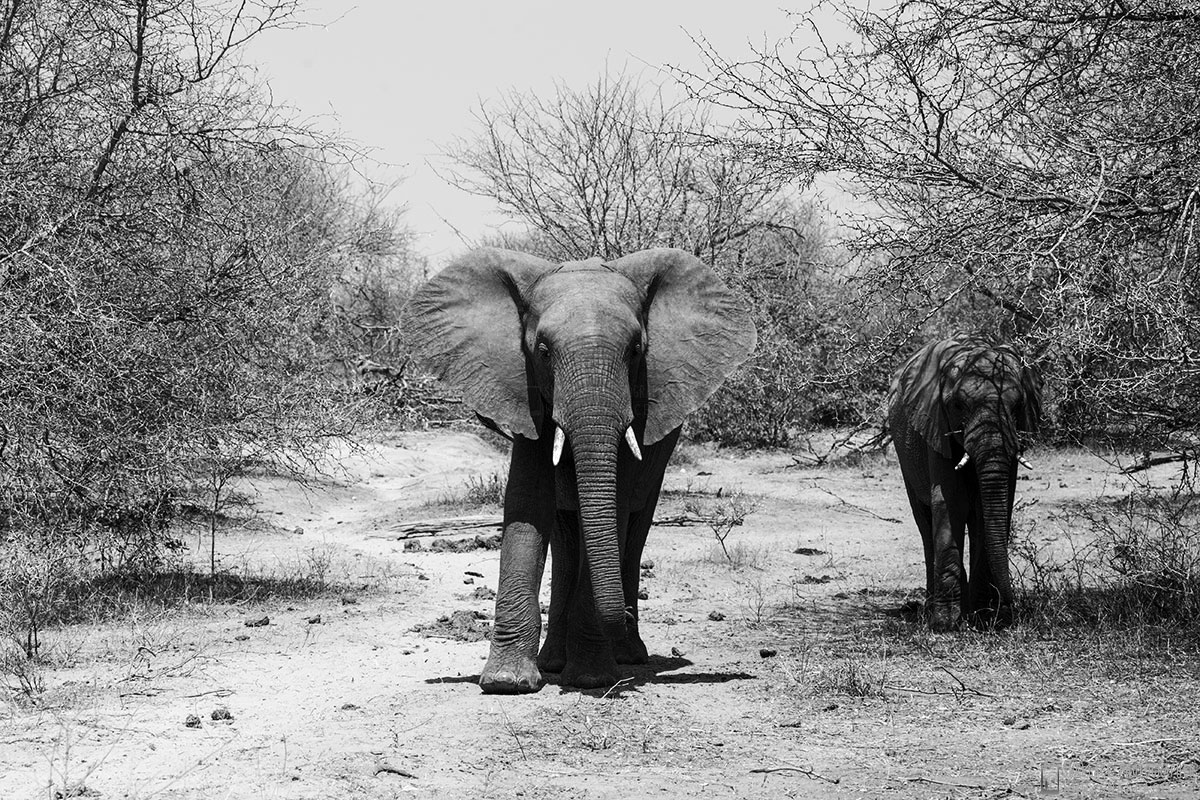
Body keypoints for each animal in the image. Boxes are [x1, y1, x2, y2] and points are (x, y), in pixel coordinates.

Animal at [408, 247, 753, 690]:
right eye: (542, 350)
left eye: (636, 350)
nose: (621, 617)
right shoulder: (525, 393)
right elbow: (528, 502)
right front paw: (507, 683)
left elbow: (616, 504)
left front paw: (591, 678)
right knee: (567, 536)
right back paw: (555, 660)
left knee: (634, 529)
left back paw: (625, 655)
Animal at [883, 338, 1041, 633]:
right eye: (958, 405)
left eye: (1018, 405)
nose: (1012, 606)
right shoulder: (935, 426)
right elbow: (951, 501)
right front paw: (946, 624)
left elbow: (990, 509)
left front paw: (985, 618)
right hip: (905, 457)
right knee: (925, 522)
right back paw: (932, 609)